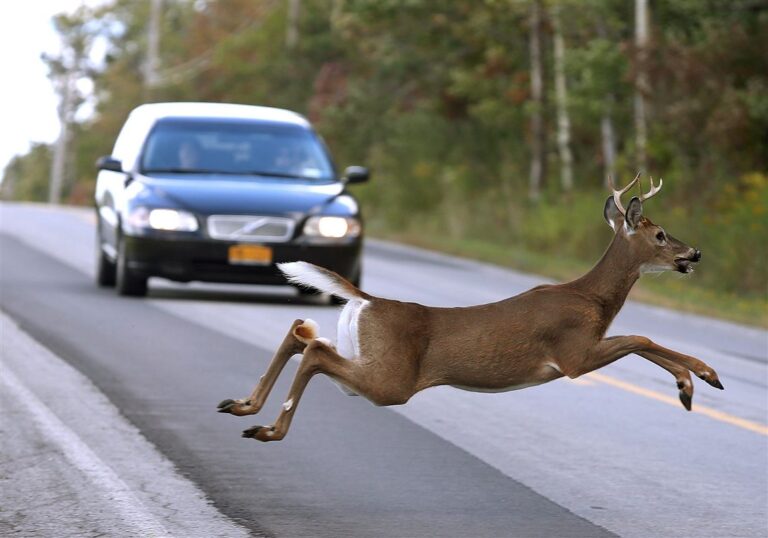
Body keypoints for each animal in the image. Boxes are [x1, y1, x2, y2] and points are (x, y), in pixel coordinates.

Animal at [217, 174, 723, 442]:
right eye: (660, 234)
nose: (695, 253)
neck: (592, 299)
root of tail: (369, 300)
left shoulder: (582, 351)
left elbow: (641, 339)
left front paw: (692, 382)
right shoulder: (573, 354)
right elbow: (640, 336)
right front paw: (698, 378)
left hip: (368, 358)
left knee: (302, 332)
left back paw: (242, 406)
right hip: (392, 380)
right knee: (315, 351)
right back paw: (268, 429)